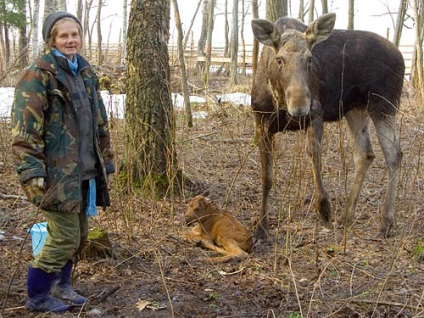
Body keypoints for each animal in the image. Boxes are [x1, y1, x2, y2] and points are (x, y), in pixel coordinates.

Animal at [250, 11, 406, 242]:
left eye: (310, 59)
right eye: (279, 59)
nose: (299, 107)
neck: (278, 99)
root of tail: (401, 55)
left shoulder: (316, 113)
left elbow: (314, 154)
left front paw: (324, 208)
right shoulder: (261, 121)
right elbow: (266, 177)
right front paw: (261, 228)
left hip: (383, 104)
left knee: (394, 154)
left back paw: (386, 222)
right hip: (355, 109)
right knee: (365, 153)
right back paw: (347, 215)